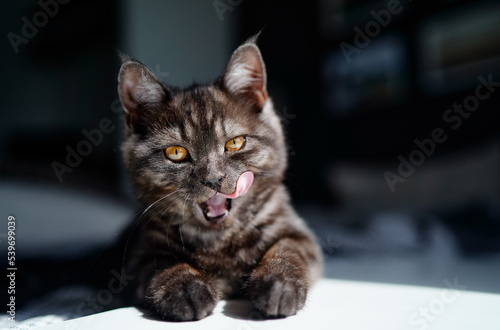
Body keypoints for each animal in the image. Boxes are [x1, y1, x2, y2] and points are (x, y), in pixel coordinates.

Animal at [116, 36, 320, 322]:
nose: (213, 180)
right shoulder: (140, 254)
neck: (220, 242)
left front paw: (278, 284)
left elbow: (287, 250)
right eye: (176, 153)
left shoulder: (299, 234)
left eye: (235, 143)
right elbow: (165, 263)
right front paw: (186, 288)